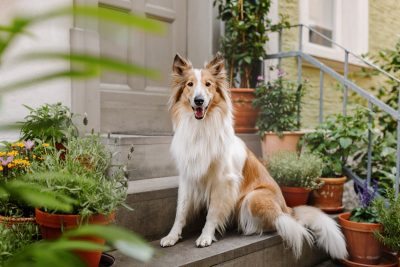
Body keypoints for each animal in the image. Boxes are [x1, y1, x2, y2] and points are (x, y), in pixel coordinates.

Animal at [159, 53, 346, 260]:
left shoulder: (223, 182)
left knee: (285, 223)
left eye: (208, 84)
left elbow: (213, 212)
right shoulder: (187, 177)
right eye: (190, 84)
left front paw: (206, 236)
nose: (199, 100)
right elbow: (181, 211)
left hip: (253, 197)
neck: (201, 129)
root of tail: (287, 207)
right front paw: (172, 236)